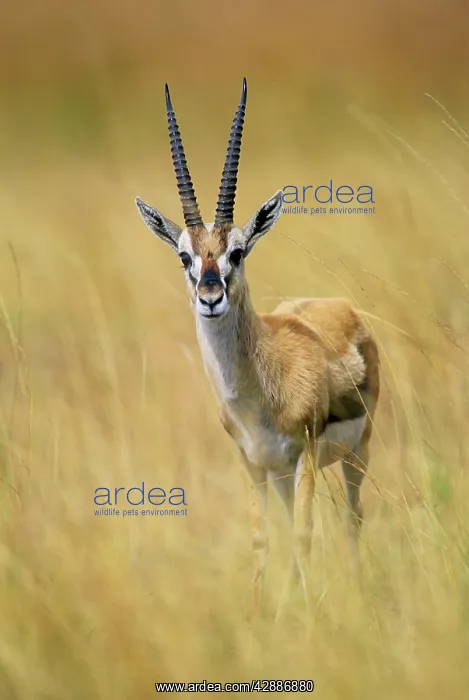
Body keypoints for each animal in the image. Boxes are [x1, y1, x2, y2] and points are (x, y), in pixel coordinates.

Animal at [135, 79, 380, 613]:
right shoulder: (253, 463)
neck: (259, 391)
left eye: (238, 251)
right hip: (284, 473)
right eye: (184, 255)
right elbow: (263, 539)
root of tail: (342, 307)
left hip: (356, 454)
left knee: (352, 519)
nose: (211, 298)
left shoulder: (304, 456)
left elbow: (305, 536)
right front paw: (259, 617)